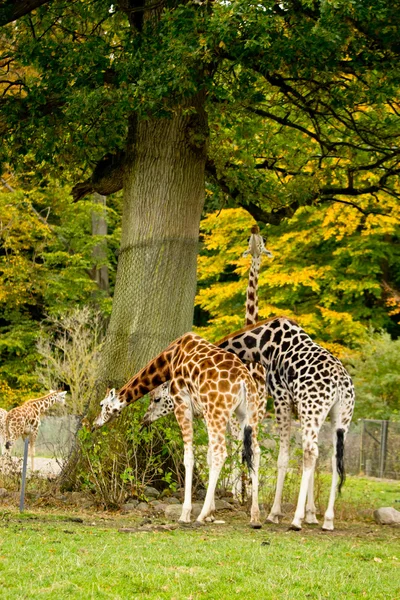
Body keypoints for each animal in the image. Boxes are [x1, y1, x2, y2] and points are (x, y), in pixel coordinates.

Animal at [93, 330, 262, 528]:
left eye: (102, 404)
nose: (95, 424)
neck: (169, 360)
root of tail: (244, 381)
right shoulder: (202, 413)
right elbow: (208, 456)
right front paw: (212, 513)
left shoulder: (182, 404)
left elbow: (189, 457)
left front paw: (187, 513)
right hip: (247, 413)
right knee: (255, 451)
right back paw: (255, 516)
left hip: (217, 411)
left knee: (222, 453)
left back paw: (201, 515)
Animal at [217, 316, 354, 532]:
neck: (260, 346)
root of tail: (340, 383)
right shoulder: (298, 406)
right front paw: (311, 515)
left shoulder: (281, 397)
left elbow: (283, 457)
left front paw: (275, 514)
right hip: (339, 416)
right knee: (333, 457)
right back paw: (328, 520)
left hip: (312, 409)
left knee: (310, 452)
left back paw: (296, 521)